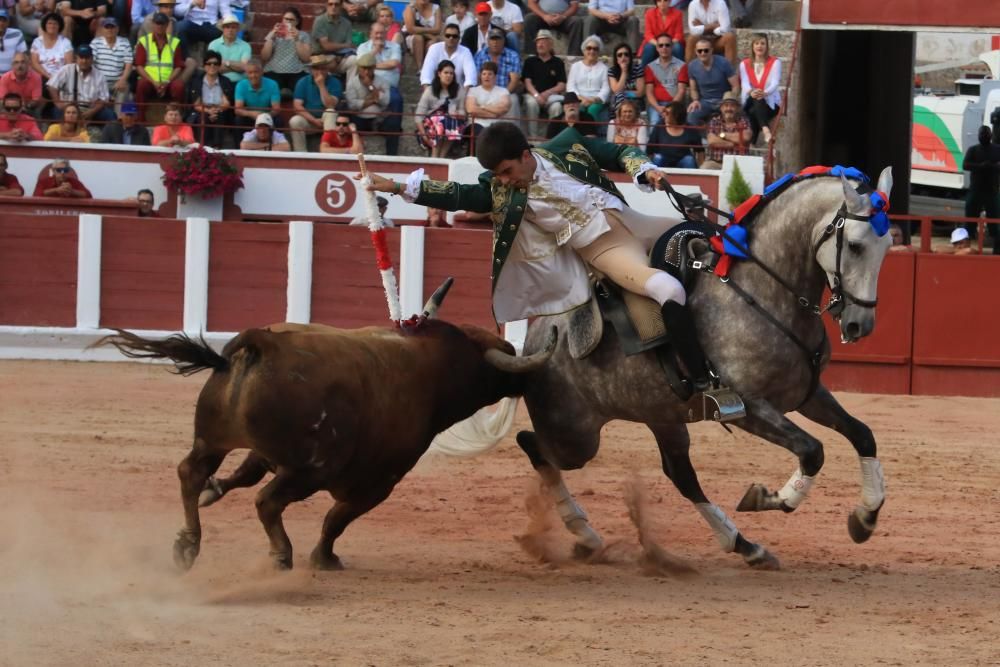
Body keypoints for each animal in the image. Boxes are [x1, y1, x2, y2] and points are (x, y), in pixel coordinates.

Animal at [99, 316, 556, 572]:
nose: (528, 380)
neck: (434, 368)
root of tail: (263, 342)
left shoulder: (264, 453)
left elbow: (243, 475)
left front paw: (217, 492)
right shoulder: (379, 481)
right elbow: (337, 518)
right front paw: (325, 557)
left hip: (212, 438)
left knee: (191, 473)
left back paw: (187, 544)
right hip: (311, 469)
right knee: (268, 501)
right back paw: (281, 555)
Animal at [520, 167, 896, 568]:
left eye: (888, 246)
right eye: (855, 245)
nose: (859, 325)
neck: (760, 291)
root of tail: (538, 334)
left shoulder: (807, 394)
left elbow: (862, 435)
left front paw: (865, 518)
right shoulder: (746, 407)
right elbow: (813, 450)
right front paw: (768, 497)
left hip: (662, 417)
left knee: (681, 476)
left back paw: (746, 546)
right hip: (575, 436)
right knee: (532, 445)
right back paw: (584, 534)